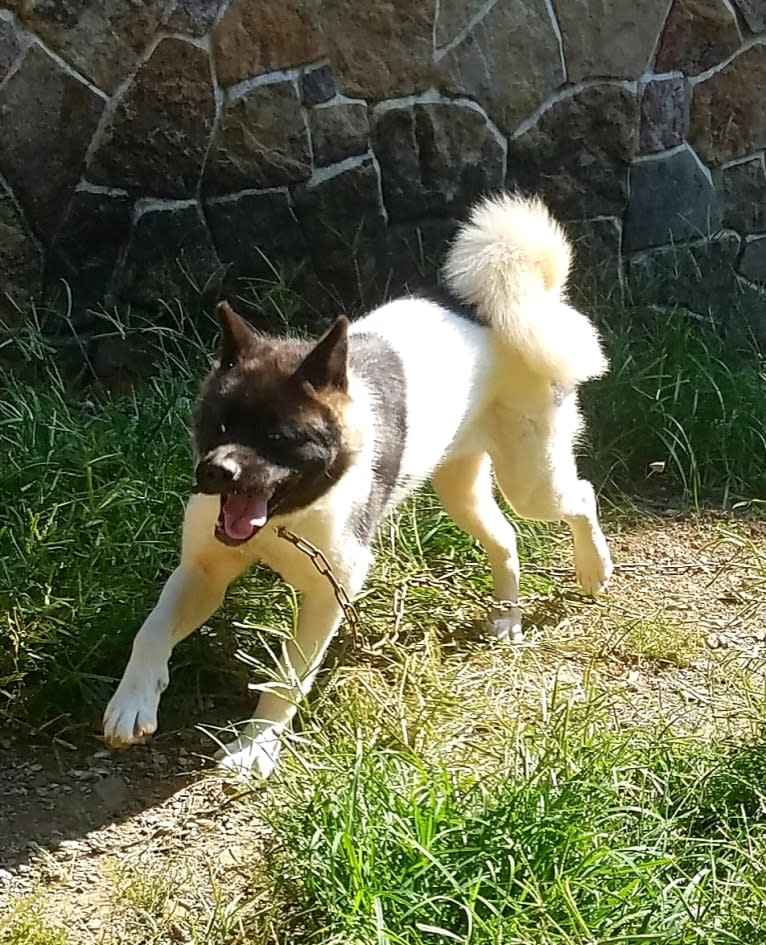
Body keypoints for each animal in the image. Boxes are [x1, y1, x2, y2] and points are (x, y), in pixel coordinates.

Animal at [102, 192, 616, 776]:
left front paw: (256, 747)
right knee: (505, 536)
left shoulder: (328, 594)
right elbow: (151, 631)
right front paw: (132, 702)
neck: (286, 519)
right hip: (461, 489)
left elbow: (285, 680)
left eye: (278, 436)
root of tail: (492, 307)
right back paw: (507, 620)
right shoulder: (203, 571)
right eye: (220, 425)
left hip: (532, 481)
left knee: (580, 496)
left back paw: (594, 568)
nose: (214, 472)